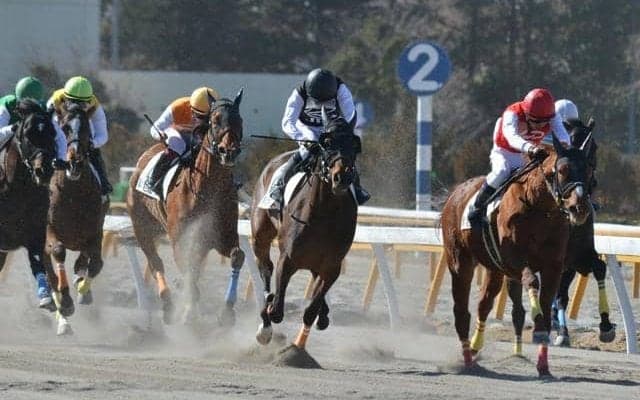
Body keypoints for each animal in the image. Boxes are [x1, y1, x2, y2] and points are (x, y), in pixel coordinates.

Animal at [0, 99, 57, 310]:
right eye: (27, 134)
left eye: (52, 133)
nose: (44, 170)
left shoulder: (35, 231)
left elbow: (37, 260)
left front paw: (46, 296)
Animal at [44, 102, 107, 335]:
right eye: (64, 127)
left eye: (87, 129)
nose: (75, 163)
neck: (74, 194)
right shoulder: (48, 230)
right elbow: (58, 251)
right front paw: (67, 301)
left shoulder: (95, 231)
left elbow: (96, 263)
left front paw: (82, 288)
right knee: (50, 277)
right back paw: (63, 320)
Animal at [127, 90, 245, 326]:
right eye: (215, 121)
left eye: (240, 121)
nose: (229, 152)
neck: (207, 189)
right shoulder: (180, 240)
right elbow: (189, 274)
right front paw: (189, 314)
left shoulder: (221, 236)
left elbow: (238, 256)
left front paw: (227, 311)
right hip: (142, 227)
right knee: (156, 263)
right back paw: (168, 304)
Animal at [251, 109, 358, 350]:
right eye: (326, 142)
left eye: (356, 144)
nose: (342, 177)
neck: (324, 212)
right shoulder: (287, 259)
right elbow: (277, 310)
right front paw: (269, 312)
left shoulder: (332, 266)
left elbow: (311, 310)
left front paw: (299, 346)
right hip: (260, 233)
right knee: (265, 268)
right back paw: (265, 321)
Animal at [440, 134, 592, 377]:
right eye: (562, 170)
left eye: (588, 170)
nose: (580, 207)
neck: (539, 207)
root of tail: (455, 194)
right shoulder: (513, 260)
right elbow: (531, 281)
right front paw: (536, 322)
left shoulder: (554, 266)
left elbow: (546, 307)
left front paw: (543, 363)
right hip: (460, 262)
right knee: (461, 312)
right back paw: (468, 361)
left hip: (494, 269)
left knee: (484, 303)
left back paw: (474, 348)